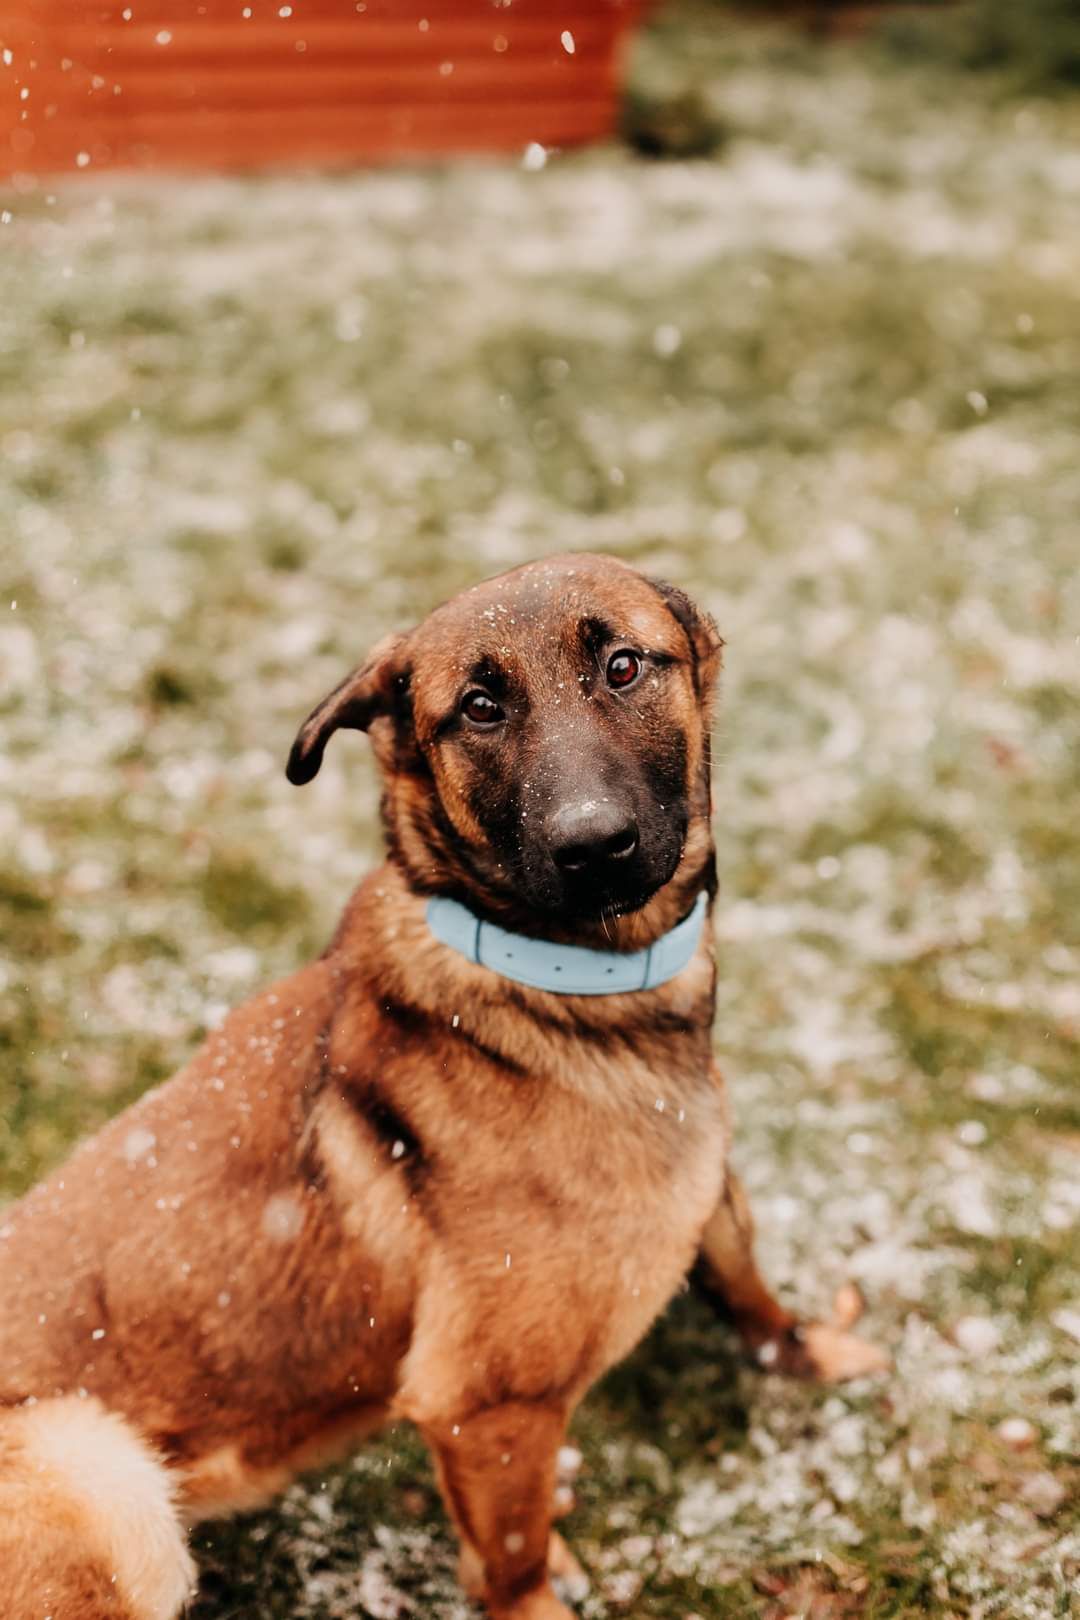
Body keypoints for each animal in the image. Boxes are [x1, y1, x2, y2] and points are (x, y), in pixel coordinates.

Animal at [0, 557, 887, 1620]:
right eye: (478, 708)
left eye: (624, 666)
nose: (593, 845)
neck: (562, 988)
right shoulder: (489, 1403)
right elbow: (512, 1563)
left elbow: (745, 1279)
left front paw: (810, 1350)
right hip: (103, 1473)